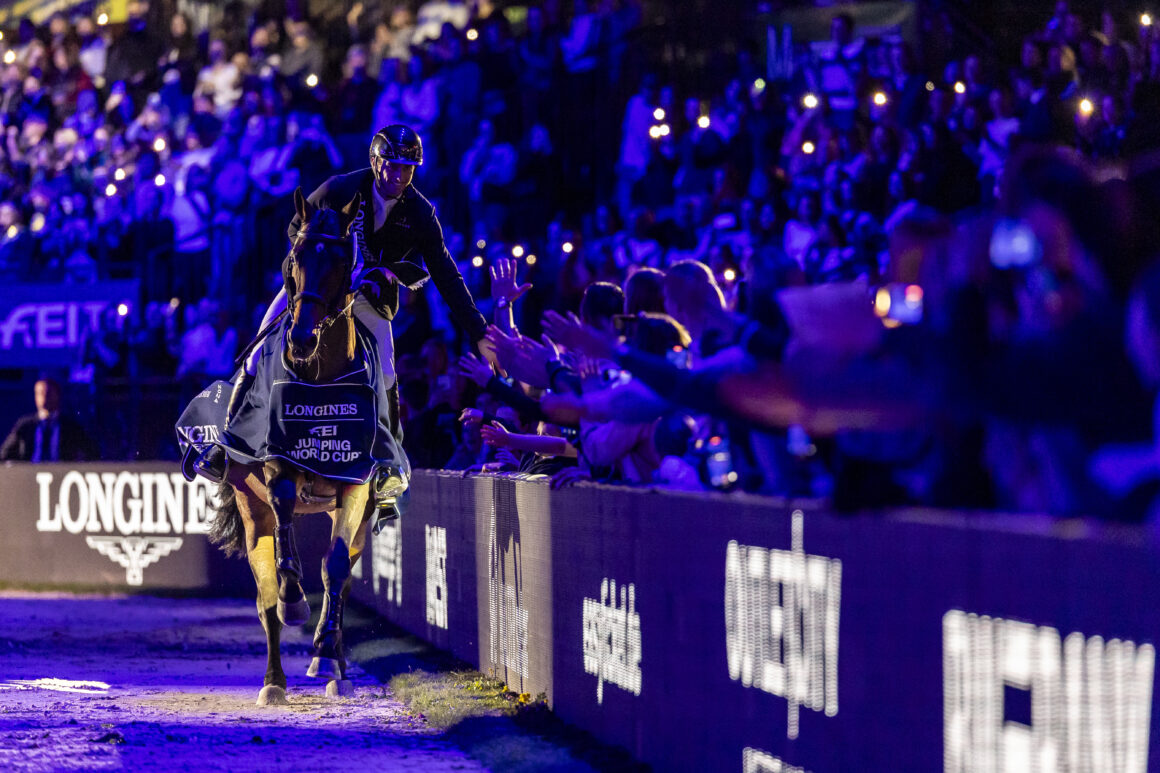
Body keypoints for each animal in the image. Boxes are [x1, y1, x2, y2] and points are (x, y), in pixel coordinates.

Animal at [206, 188, 373, 705]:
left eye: (341, 261)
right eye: (295, 257)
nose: (301, 339)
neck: (318, 379)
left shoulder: (355, 481)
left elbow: (335, 569)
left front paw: (326, 653)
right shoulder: (275, 466)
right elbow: (283, 519)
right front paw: (294, 600)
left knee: (340, 582)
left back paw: (334, 661)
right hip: (249, 508)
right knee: (265, 600)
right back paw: (274, 680)